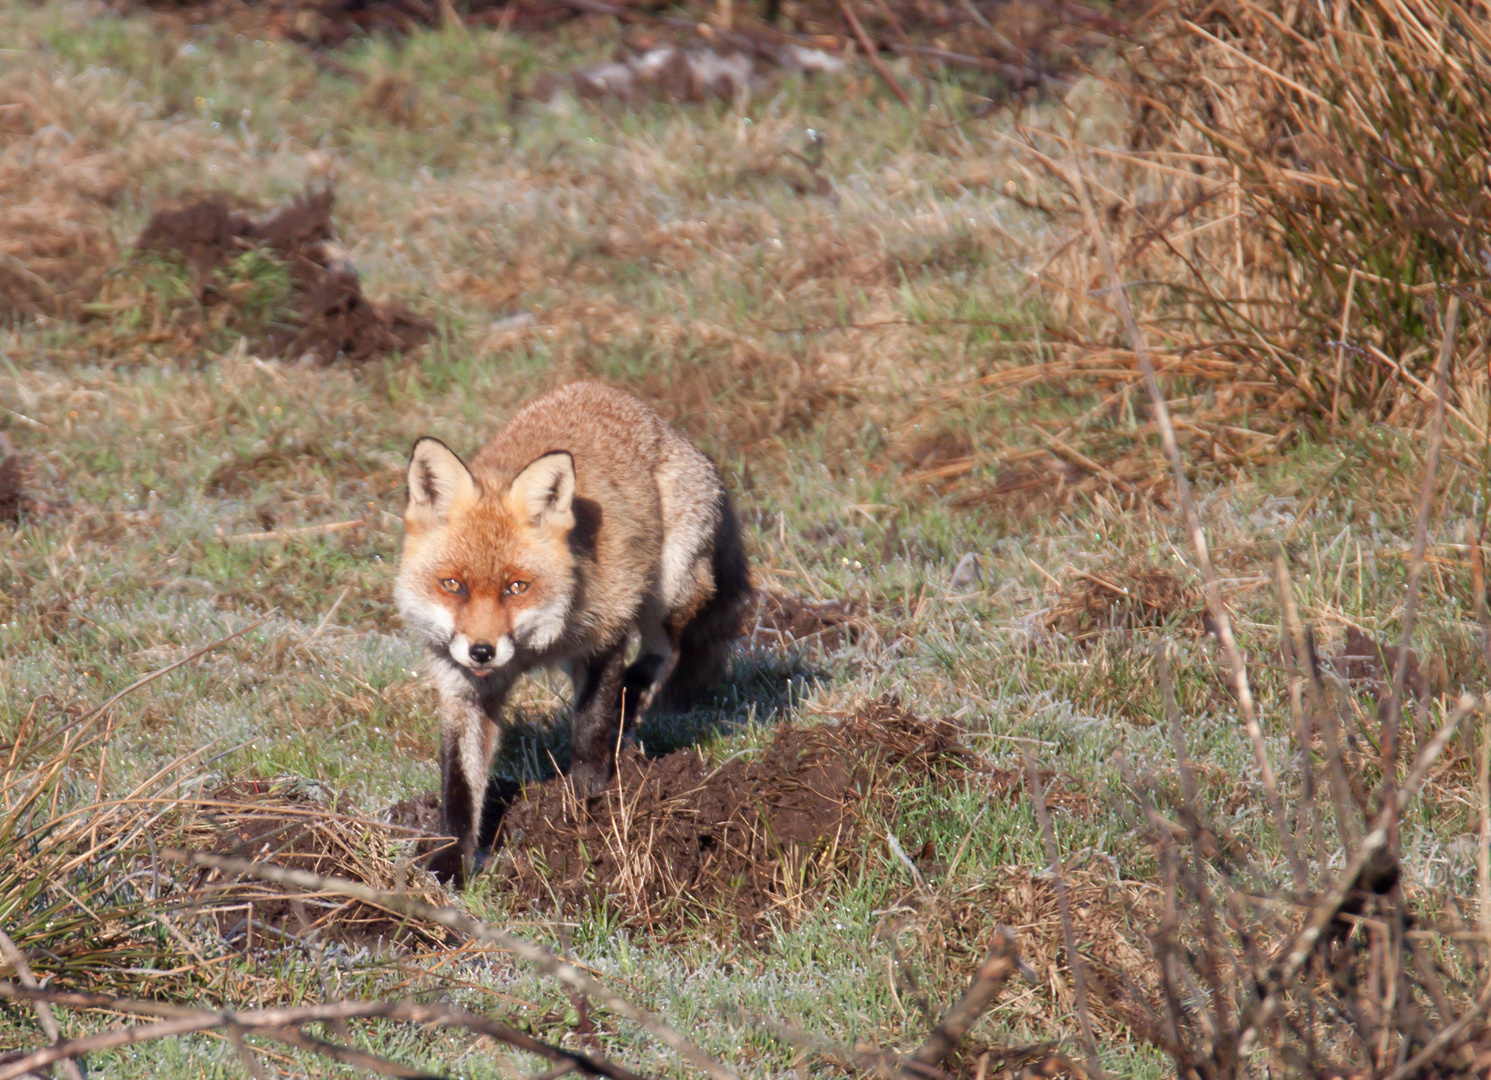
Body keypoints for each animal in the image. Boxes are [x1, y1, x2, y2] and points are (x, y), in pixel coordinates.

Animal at [396, 384, 751, 883]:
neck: (530, 650)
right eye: (453, 585)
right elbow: (460, 787)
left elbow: (590, 724)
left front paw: (584, 802)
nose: (482, 652)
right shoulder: (461, 687)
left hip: (668, 589)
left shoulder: (604, 633)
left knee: (664, 652)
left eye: (516, 587)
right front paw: (449, 866)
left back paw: (630, 705)